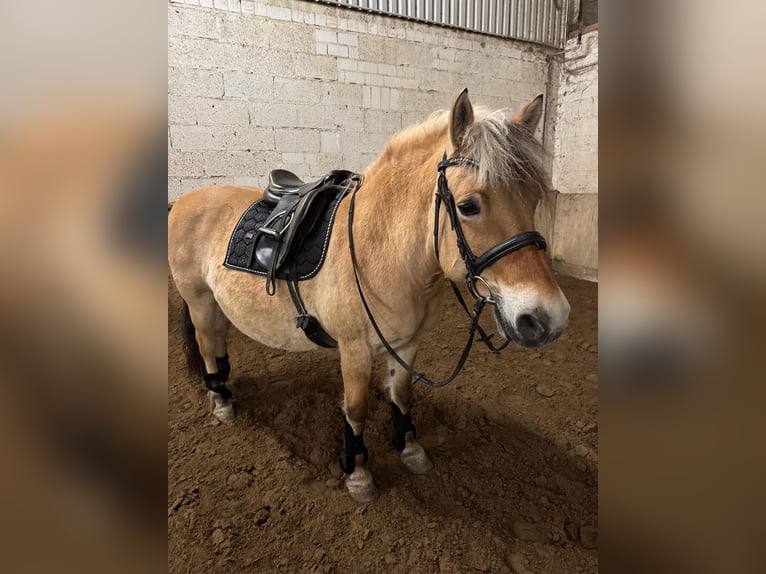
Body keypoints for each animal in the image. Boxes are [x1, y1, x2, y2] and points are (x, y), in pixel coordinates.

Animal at [168, 89, 570, 503]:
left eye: (534, 198)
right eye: (468, 206)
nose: (547, 318)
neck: (381, 249)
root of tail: (183, 201)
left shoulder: (408, 344)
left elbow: (402, 394)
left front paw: (409, 449)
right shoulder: (354, 349)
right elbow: (357, 409)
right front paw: (357, 472)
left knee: (217, 343)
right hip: (199, 301)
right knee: (206, 344)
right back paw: (220, 401)